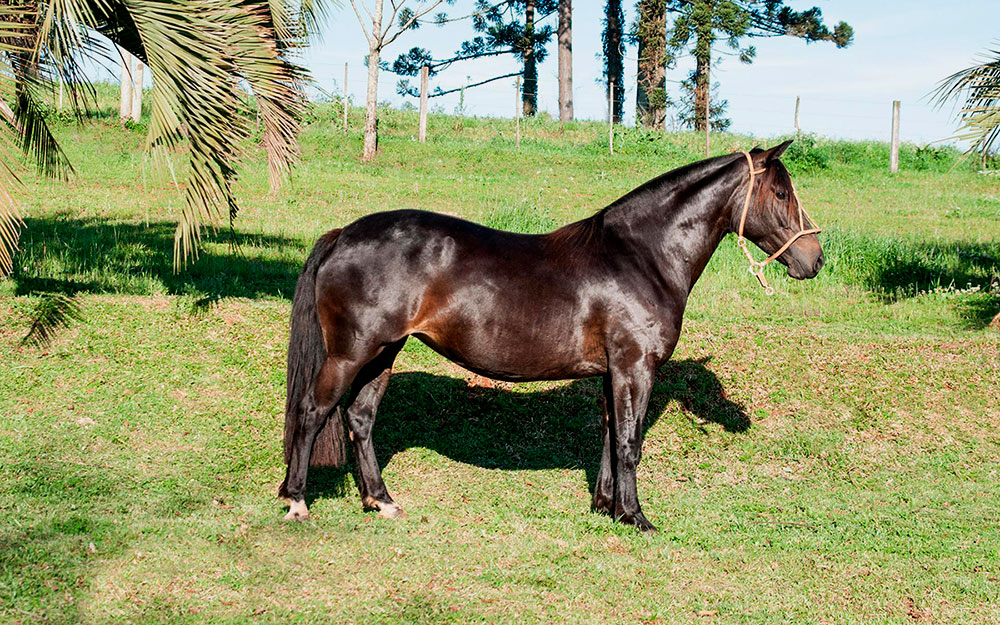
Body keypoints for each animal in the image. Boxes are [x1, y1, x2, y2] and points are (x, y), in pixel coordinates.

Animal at [276, 143, 820, 532]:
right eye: (781, 194)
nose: (813, 259)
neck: (640, 256)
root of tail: (344, 234)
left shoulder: (613, 373)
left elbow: (610, 434)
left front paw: (607, 507)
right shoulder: (635, 368)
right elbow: (629, 442)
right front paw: (636, 517)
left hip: (383, 352)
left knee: (360, 419)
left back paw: (381, 501)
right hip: (351, 353)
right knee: (312, 411)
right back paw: (297, 501)